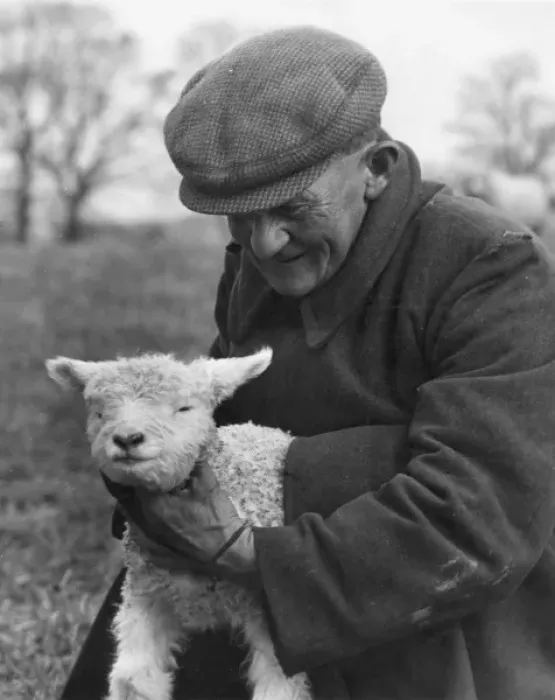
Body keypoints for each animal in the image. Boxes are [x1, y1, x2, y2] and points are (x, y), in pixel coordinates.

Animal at [46, 347, 312, 700]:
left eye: (184, 408)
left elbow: (278, 689)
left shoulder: (268, 613)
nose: (127, 438)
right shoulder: (148, 594)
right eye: (100, 413)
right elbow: (133, 680)